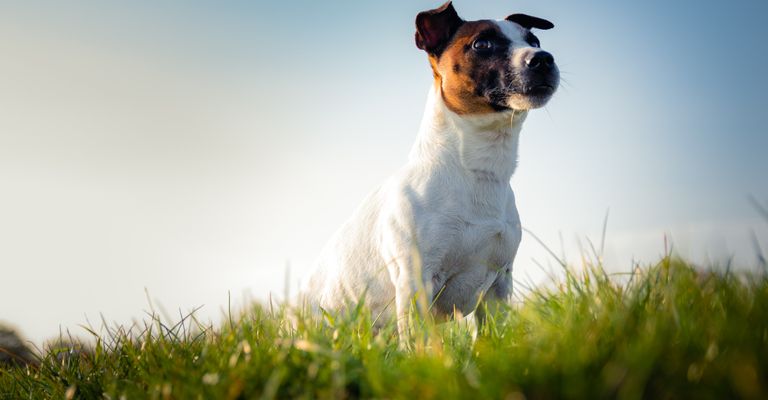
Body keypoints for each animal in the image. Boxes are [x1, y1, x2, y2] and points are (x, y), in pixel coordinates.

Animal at [304, 2, 560, 340]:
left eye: (534, 40)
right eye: (482, 44)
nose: (543, 58)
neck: (477, 171)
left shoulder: (497, 286)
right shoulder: (416, 283)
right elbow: (420, 343)